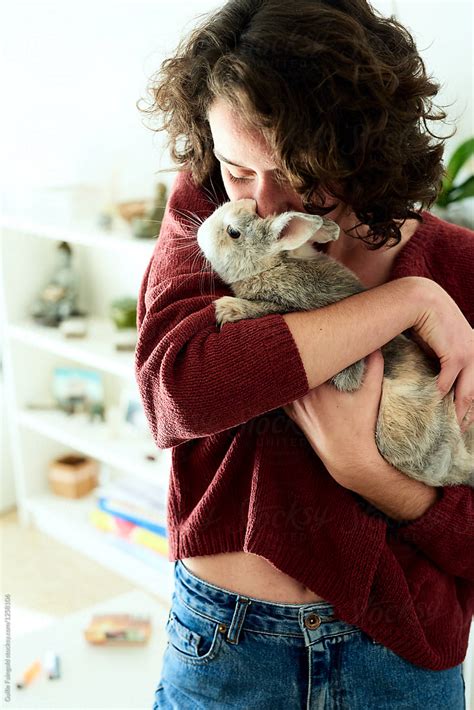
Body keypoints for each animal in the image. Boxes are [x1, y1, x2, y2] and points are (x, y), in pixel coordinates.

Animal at [196, 199, 474, 490]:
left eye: (233, 232)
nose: (200, 231)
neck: (276, 263)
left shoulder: (289, 304)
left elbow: (264, 309)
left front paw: (227, 309)